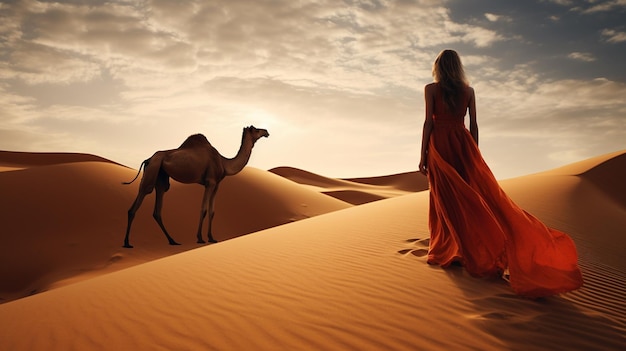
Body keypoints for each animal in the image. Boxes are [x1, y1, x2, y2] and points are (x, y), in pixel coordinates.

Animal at [122, 125, 268, 249]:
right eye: (256, 129)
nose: (266, 131)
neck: (224, 163)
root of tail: (149, 159)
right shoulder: (210, 182)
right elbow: (203, 209)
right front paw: (200, 238)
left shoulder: (216, 185)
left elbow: (212, 211)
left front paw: (212, 238)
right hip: (153, 170)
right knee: (140, 198)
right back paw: (127, 243)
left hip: (161, 176)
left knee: (157, 206)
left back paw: (173, 241)